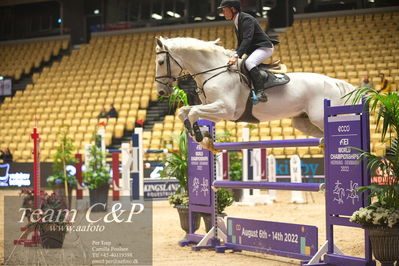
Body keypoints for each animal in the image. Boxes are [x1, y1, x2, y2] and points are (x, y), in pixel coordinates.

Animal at [155, 35, 358, 144]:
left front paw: (197, 134)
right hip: (303, 122)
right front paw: (197, 133)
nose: (161, 92)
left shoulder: (225, 109)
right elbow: (184, 111)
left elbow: (193, 112)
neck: (214, 71)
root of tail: (333, 81)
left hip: (322, 116)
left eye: (161, 62)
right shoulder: (214, 109)